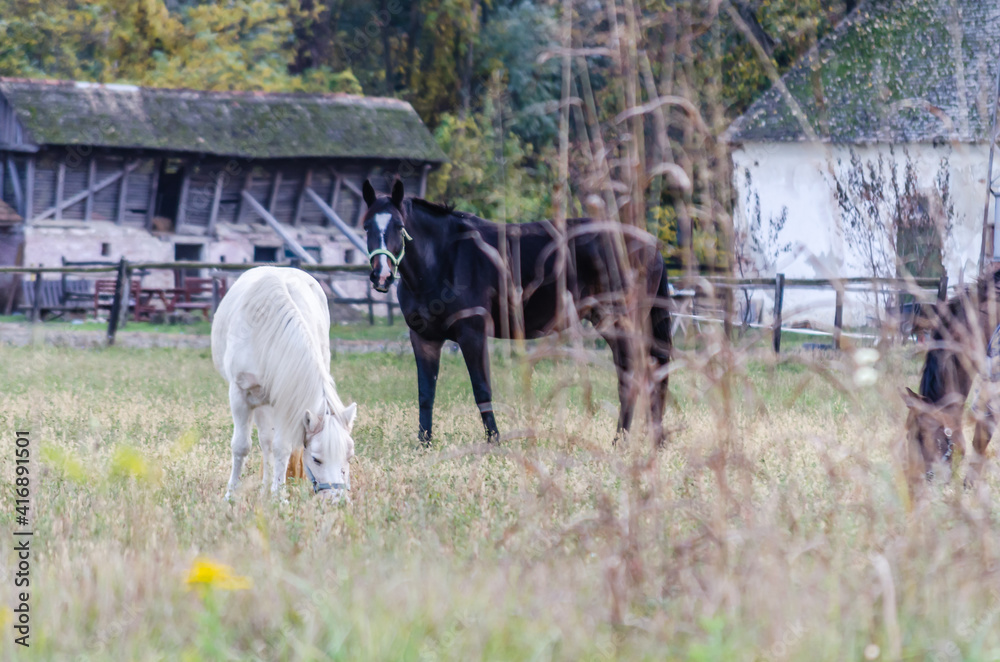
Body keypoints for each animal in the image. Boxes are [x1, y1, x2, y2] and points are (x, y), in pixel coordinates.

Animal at [211, 266, 357, 500]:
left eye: (349, 456)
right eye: (316, 459)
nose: (337, 500)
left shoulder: (285, 400)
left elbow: (282, 448)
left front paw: (278, 497)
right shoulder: (240, 395)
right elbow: (241, 446)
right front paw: (231, 495)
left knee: (269, 443)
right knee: (264, 441)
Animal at [362, 179, 672, 447]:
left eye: (399, 226)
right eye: (366, 226)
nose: (382, 276)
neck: (444, 258)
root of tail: (650, 244)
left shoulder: (472, 334)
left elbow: (482, 390)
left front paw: (494, 441)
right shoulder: (424, 339)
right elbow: (426, 393)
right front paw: (424, 444)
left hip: (620, 322)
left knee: (635, 375)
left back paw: (623, 442)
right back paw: (648, 441)